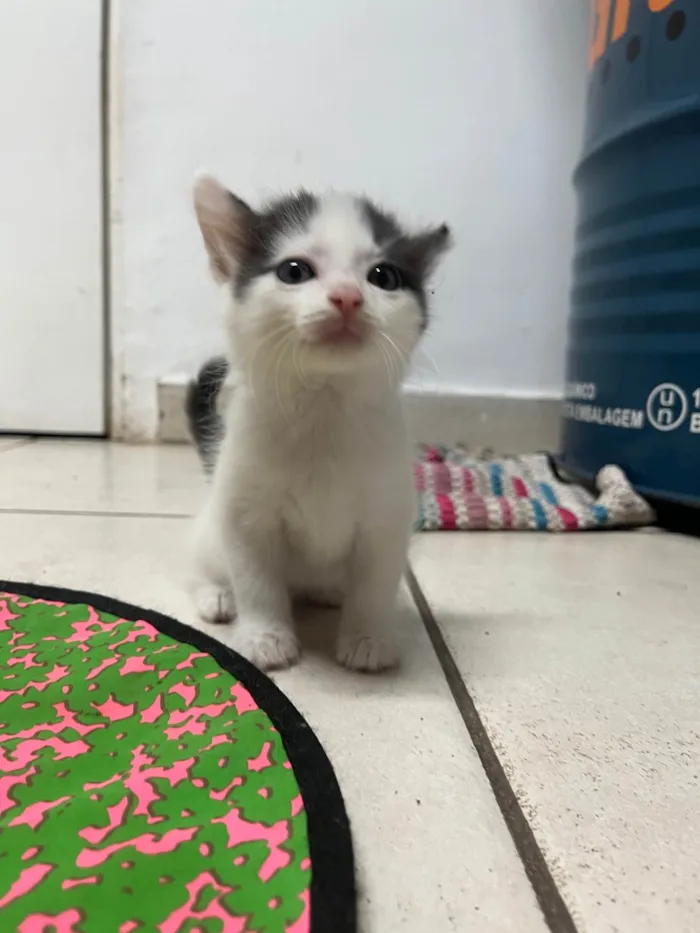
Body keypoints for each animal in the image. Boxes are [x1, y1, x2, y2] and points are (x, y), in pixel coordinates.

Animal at [186, 175, 452, 668]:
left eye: (383, 277)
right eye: (294, 271)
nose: (347, 296)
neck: (325, 404)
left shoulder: (387, 516)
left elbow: (374, 584)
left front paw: (367, 637)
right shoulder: (246, 514)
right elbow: (256, 580)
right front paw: (266, 636)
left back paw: (330, 593)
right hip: (211, 529)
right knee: (199, 562)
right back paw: (216, 595)